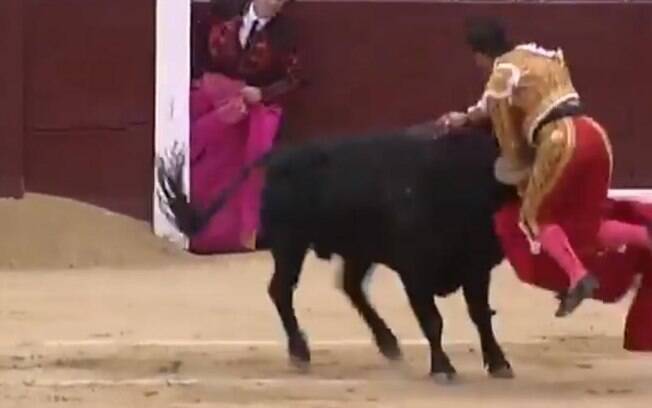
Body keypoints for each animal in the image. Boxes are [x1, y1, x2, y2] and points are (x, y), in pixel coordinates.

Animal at [157, 126, 520, 382]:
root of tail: (281, 156)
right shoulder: (414, 271)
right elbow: (433, 320)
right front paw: (443, 368)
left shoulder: (475, 267)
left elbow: (480, 315)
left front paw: (499, 363)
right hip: (291, 242)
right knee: (281, 290)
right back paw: (300, 351)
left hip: (357, 249)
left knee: (350, 286)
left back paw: (388, 343)